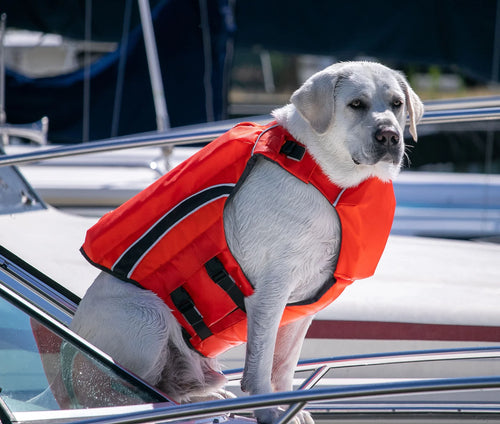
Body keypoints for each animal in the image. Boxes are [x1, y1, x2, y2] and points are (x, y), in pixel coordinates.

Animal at [69, 61, 422, 422]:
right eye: (356, 104)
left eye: (397, 104)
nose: (389, 136)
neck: (323, 177)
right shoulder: (269, 291)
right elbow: (260, 367)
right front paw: (269, 410)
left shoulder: (304, 306)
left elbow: (284, 366)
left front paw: (292, 407)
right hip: (148, 317)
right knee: (115, 390)